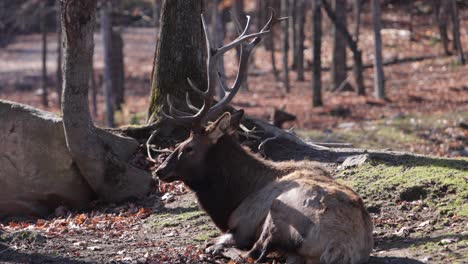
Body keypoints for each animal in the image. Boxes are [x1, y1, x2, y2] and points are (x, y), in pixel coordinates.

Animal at [155, 10, 374, 264]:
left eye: (188, 147)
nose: (159, 170)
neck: (232, 199)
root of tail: (339, 247)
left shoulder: (243, 224)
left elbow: (226, 241)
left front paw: (215, 245)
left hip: (278, 208)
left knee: (255, 252)